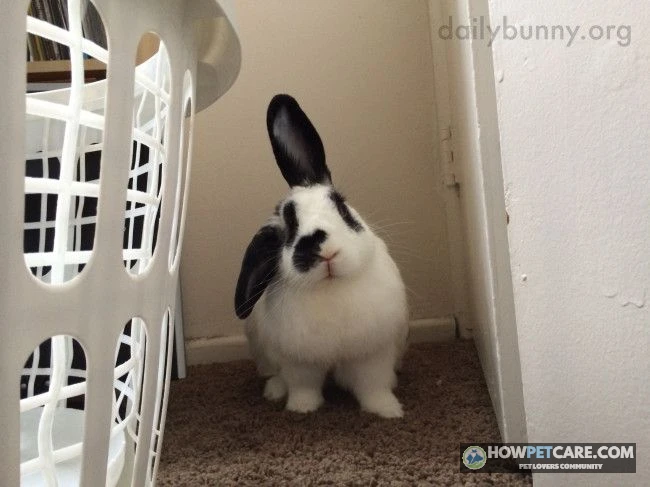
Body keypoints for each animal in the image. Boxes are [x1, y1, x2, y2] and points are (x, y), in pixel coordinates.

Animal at [234, 94, 409, 418]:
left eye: (340, 205)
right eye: (288, 229)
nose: (322, 249)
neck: (331, 286)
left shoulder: (372, 355)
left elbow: (373, 386)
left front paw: (388, 411)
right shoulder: (300, 363)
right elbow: (304, 387)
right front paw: (301, 410)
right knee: (276, 374)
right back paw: (274, 391)